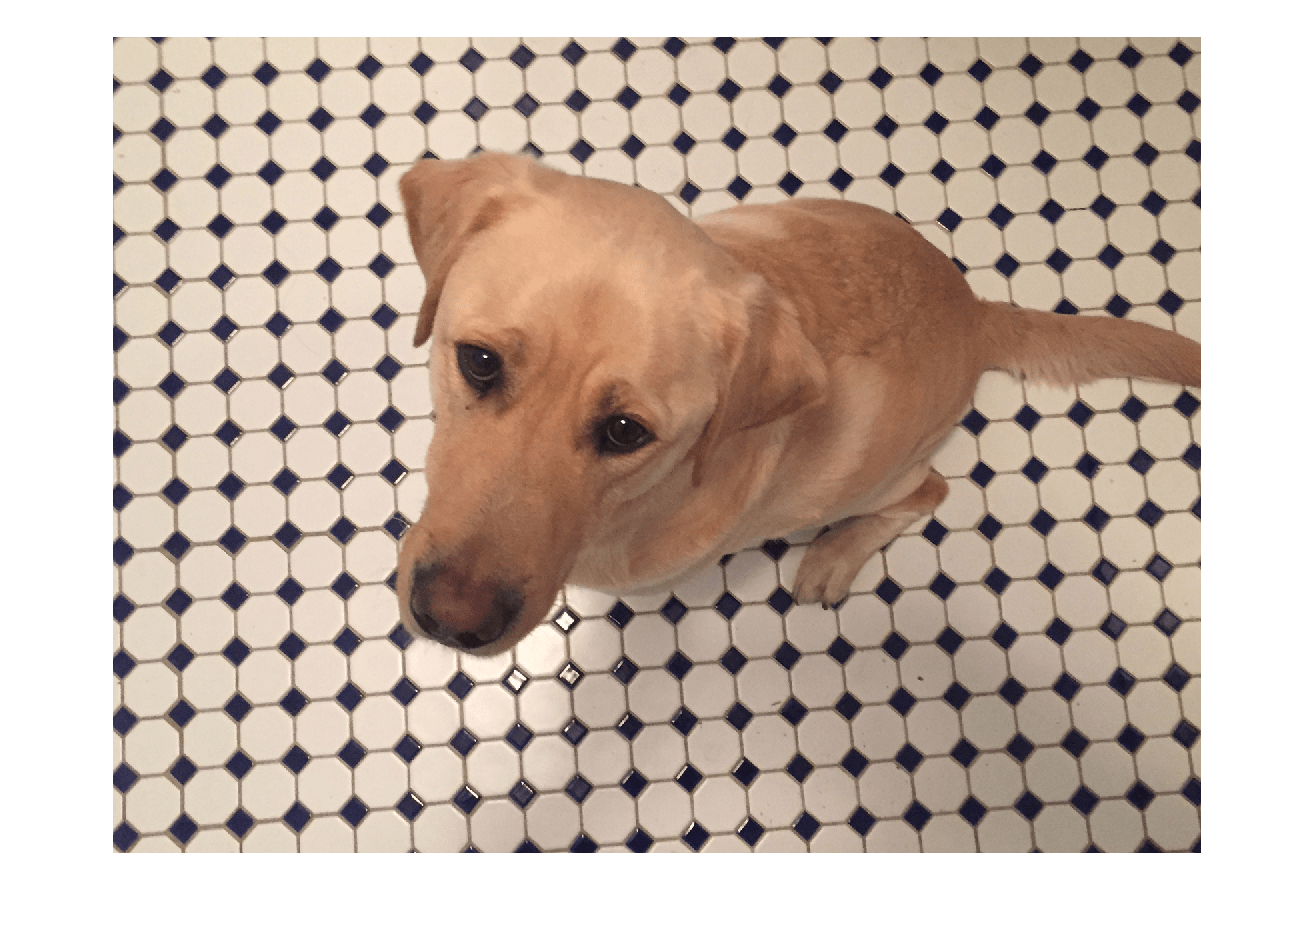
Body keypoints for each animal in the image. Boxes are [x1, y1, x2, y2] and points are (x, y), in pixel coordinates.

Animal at [393, 152, 1200, 655]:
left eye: (625, 431)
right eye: (480, 362)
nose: (452, 623)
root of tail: (976, 312)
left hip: (876, 474)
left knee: (927, 493)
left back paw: (834, 556)